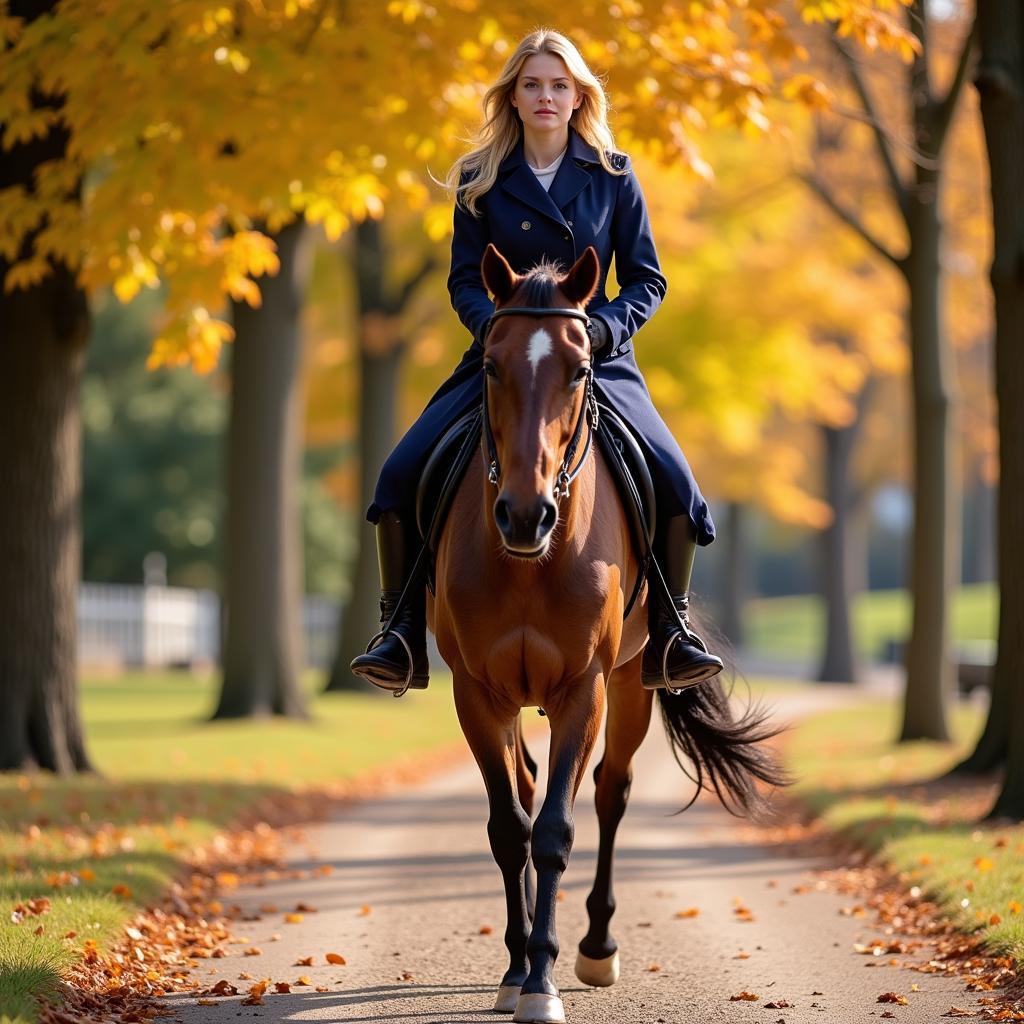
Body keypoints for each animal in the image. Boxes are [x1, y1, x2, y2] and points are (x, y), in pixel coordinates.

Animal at [428, 245, 778, 1024]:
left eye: (580, 367)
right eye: (491, 364)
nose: (524, 514)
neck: (531, 561)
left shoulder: (582, 689)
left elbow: (557, 831)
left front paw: (543, 982)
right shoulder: (475, 693)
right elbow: (510, 829)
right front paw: (517, 971)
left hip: (632, 681)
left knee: (612, 791)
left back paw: (595, 947)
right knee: (528, 792)